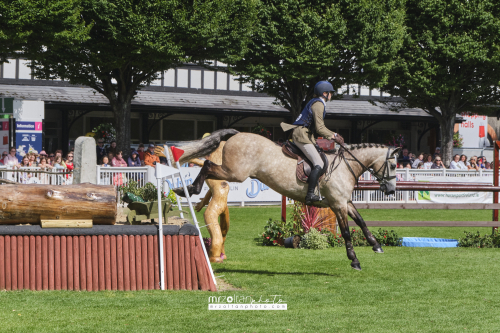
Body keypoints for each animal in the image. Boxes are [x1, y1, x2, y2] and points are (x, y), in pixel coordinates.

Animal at [174, 128, 400, 268]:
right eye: (394, 165)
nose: (390, 190)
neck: (345, 166)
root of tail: (238, 134)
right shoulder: (338, 204)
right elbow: (345, 232)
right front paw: (354, 260)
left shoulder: (345, 202)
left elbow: (361, 221)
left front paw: (376, 245)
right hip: (235, 173)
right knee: (207, 165)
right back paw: (190, 189)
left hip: (232, 172)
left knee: (208, 168)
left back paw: (187, 189)